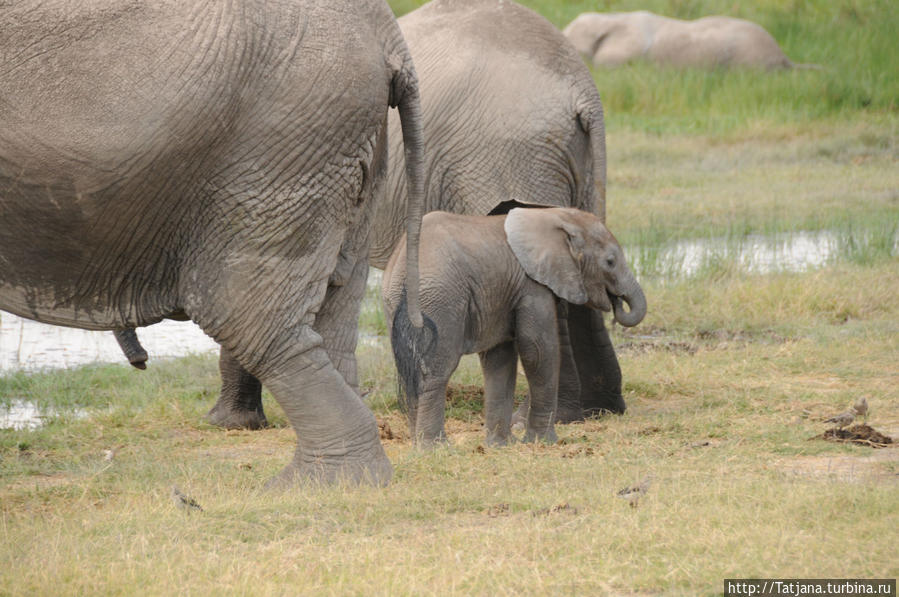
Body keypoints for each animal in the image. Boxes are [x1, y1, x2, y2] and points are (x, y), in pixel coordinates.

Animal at [0, 0, 428, 484]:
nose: (141, 362)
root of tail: (388, 37)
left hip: (281, 148)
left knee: (250, 318)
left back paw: (312, 484)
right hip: (351, 151)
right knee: (335, 302)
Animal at [384, 207, 644, 444]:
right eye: (610, 262)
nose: (616, 302)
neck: (557, 216)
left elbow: (500, 358)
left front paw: (501, 445)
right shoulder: (532, 286)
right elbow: (537, 350)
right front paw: (543, 442)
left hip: (396, 300)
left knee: (412, 369)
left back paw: (417, 445)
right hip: (440, 300)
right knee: (436, 370)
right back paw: (435, 448)